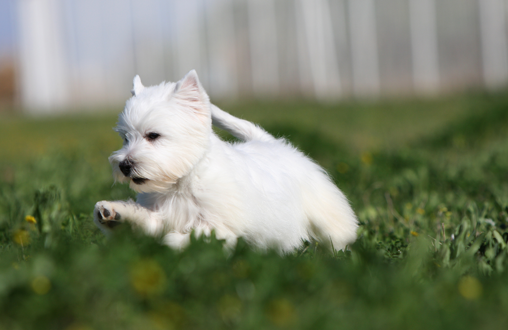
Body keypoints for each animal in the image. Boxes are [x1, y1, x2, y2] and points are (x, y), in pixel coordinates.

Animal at [94, 70, 358, 253]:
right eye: (125, 137)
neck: (182, 184)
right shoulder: (160, 215)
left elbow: (182, 237)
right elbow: (146, 222)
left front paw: (172, 242)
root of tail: (272, 143)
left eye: (153, 135)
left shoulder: (221, 226)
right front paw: (113, 214)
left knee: (338, 234)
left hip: (323, 212)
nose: (124, 165)